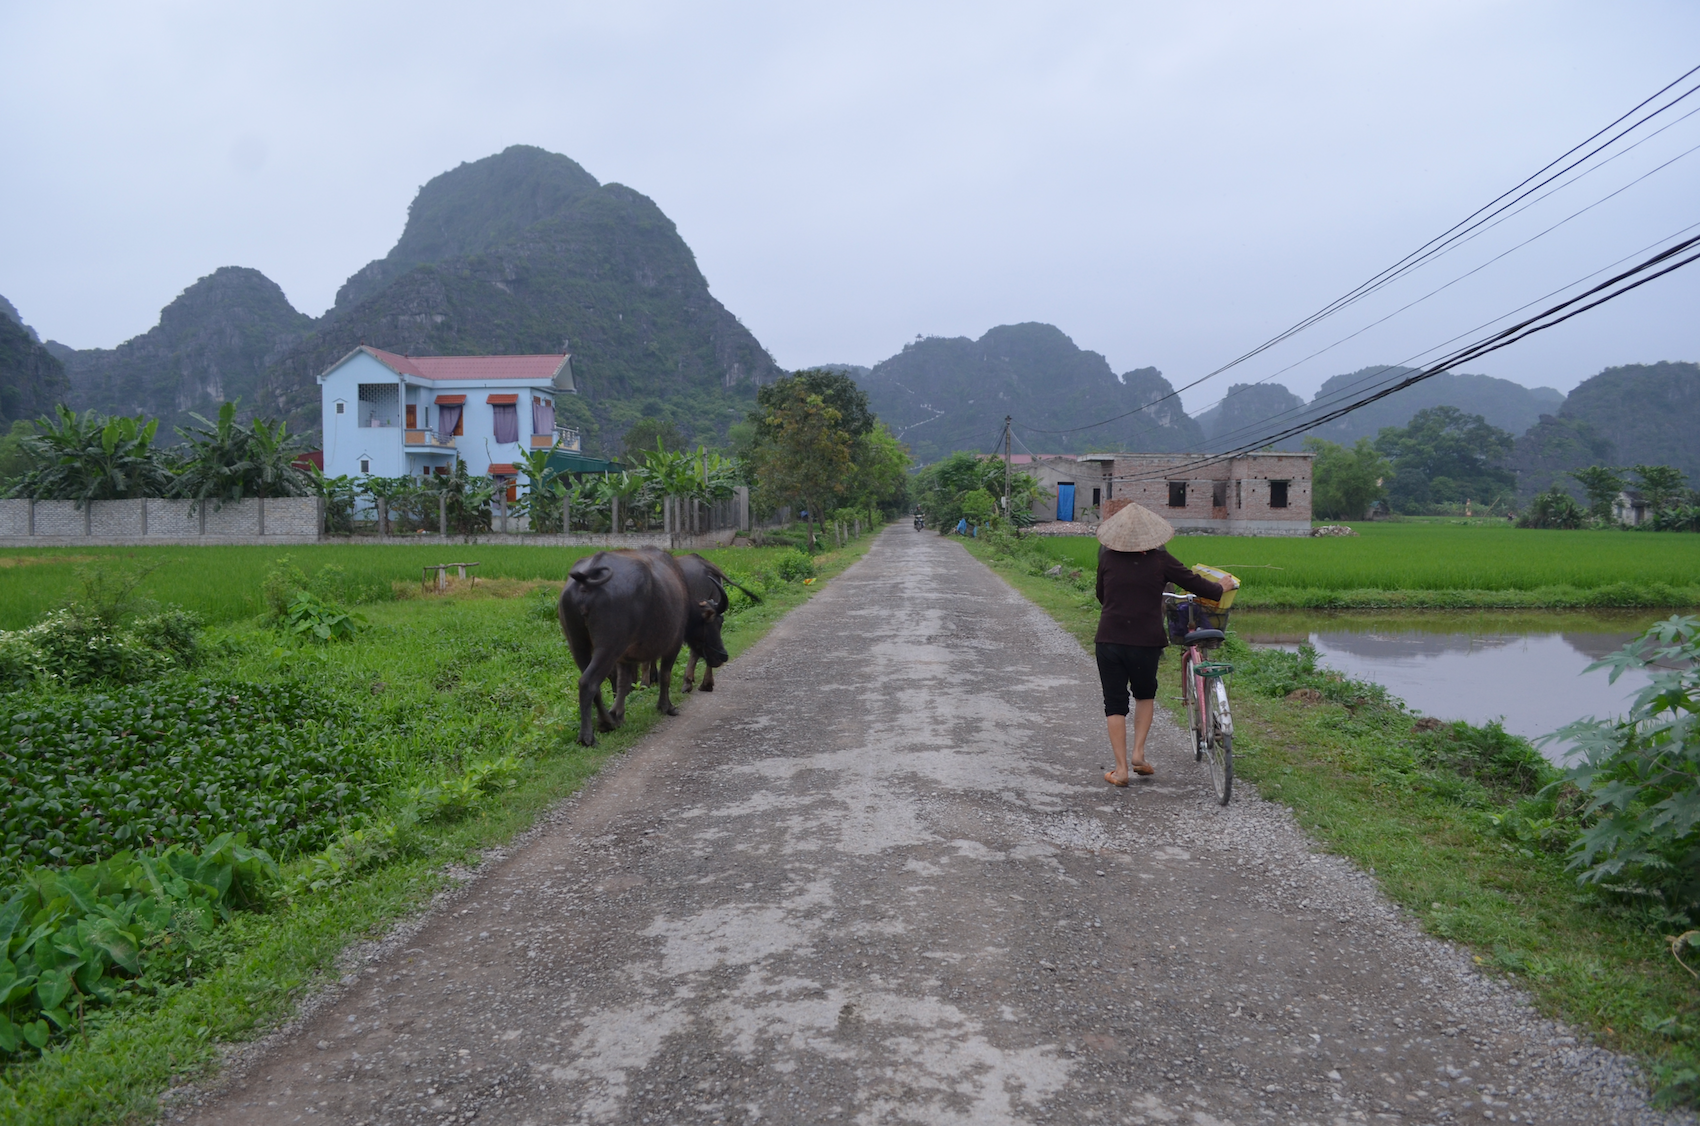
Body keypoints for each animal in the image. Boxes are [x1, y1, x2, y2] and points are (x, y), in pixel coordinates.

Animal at [561, 547, 707, 748]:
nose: (722, 655)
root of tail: (587, 579)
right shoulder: (674, 642)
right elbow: (665, 675)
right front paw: (666, 706)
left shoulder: (625, 656)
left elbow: (624, 682)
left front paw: (619, 714)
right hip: (608, 646)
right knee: (588, 682)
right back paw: (589, 736)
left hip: (577, 644)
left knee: (592, 682)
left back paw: (607, 721)